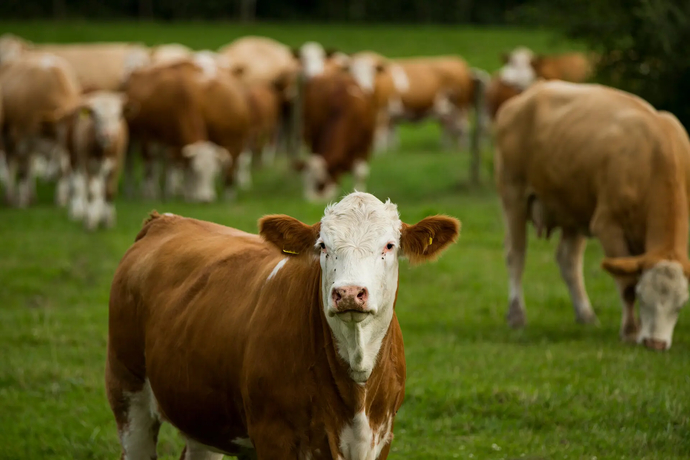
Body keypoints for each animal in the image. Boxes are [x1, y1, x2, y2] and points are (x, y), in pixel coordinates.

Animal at [0, 53, 81, 207]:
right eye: (67, 132)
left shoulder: (56, 145)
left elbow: (62, 170)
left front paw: (61, 199)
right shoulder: (21, 140)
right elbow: (22, 171)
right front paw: (22, 202)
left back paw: (30, 196)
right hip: (9, 140)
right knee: (12, 164)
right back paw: (12, 197)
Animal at [106, 191, 460, 459]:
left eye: (389, 245)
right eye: (323, 246)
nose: (348, 292)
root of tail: (165, 220)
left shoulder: (381, 437)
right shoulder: (274, 436)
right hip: (128, 390)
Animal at [495, 81, 690, 350]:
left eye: (680, 305)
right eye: (643, 296)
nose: (655, 344)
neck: (656, 156)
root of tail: (529, 93)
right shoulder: (608, 226)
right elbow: (626, 284)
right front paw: (630, 331)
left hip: (573, 207)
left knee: (568, 261)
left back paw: (585, 315)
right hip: (513, 194)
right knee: (516, 255)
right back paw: (516, 314)